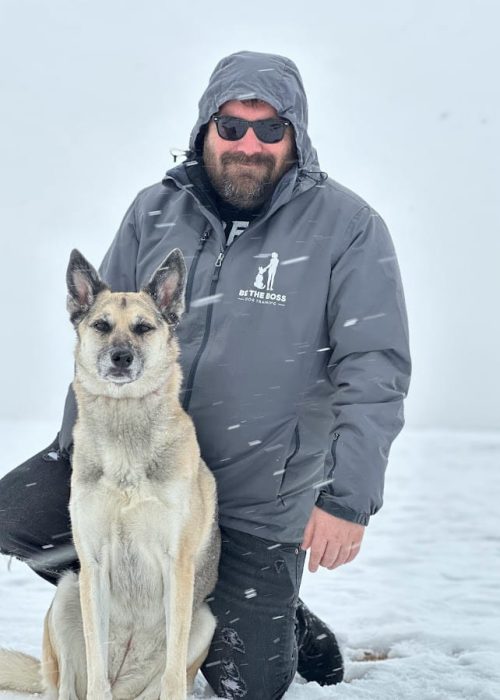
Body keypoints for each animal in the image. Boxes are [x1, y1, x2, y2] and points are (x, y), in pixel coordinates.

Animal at [0, 250, 221, 700]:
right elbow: (96, 662)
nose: (121, 357)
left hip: (205, 620)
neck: (125, 429)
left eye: (143, 327)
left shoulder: (177, 564)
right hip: (68, 593)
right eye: (101, 326)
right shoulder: (94, 564)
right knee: (70, 684)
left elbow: (173, 674)